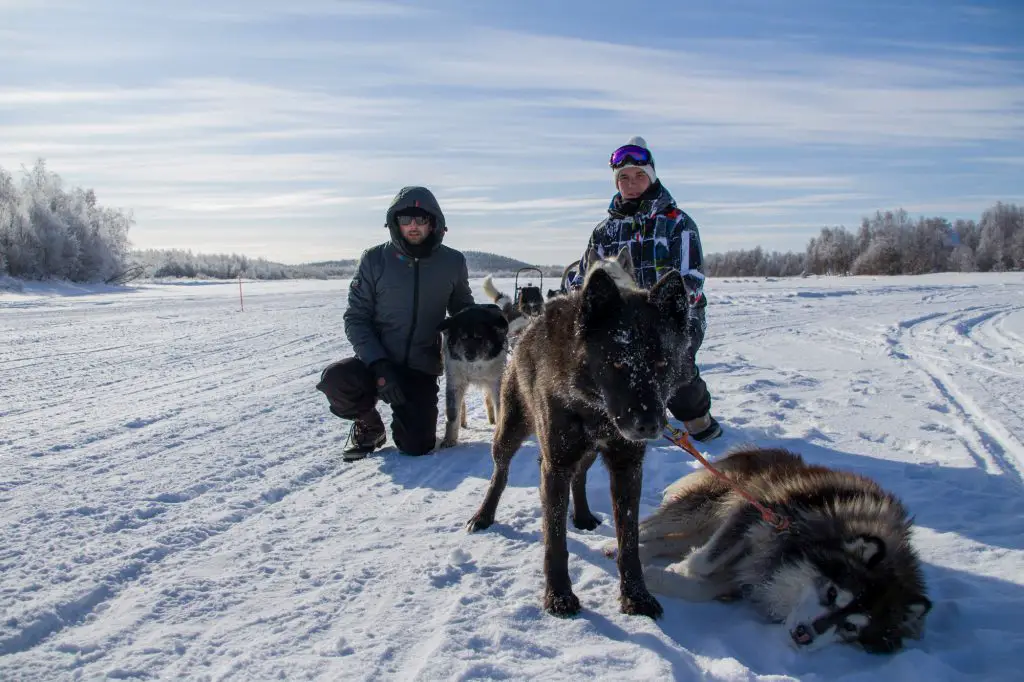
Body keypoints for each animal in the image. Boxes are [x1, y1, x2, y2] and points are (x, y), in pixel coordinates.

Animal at [436, 303, 507, 446]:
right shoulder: (455, 382)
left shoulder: (496, 381)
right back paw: (462, 422)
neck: (476, 366)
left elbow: (499, 407)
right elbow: (452, 413)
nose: (469, 355)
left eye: (480, 337)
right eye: (462, 338)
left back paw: (492, 420)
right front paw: (449, 440)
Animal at [466, 266, 696, 614]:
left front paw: (636, 595)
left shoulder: (628, 467)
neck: (593, 408)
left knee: (581, 477)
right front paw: (558, 594)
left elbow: (628, 540)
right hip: (510, 434)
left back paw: (584, 515)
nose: (649, 425)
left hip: (583, 453)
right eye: (617, 362)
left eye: (661, 363)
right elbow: (555, 539)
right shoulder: (557, 466)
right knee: (500, 474)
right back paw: (484, 515)